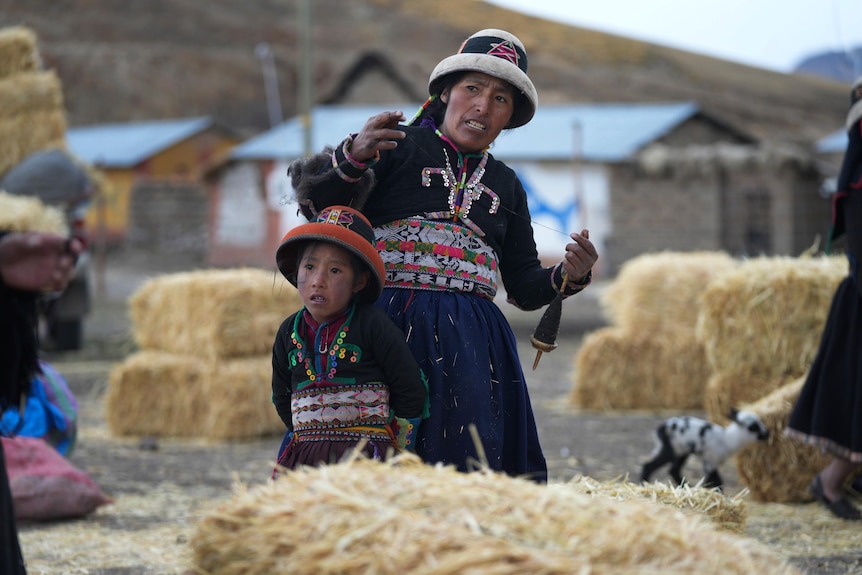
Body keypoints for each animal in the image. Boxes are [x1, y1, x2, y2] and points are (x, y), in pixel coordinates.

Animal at [636, 410, 772, 490]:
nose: (767, 433)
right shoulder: (710, 460)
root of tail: (660, 429)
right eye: (753, 427)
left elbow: (714, 480)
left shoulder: (711, 461)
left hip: (681, 451)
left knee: (673, 470)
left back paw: (686, 487)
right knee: (649, 465)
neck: (727, 439)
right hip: (670, 449)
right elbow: (716, 481)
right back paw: (644, 483)